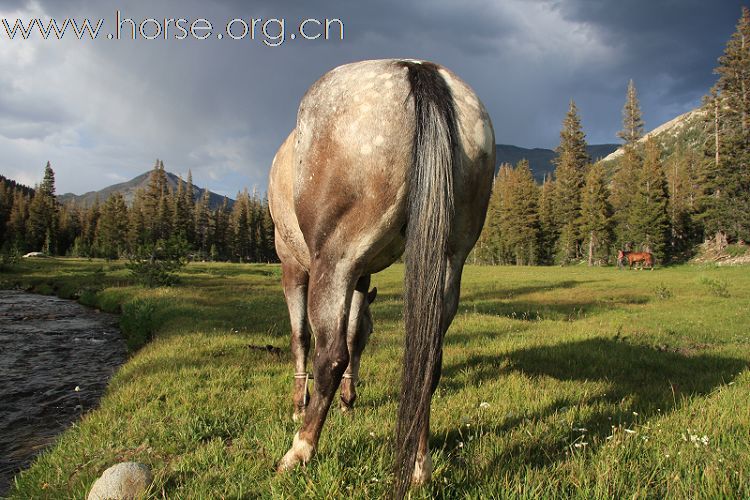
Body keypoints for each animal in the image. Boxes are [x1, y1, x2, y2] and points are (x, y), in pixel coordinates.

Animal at [268, 58, 496, 496]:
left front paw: (299, 403)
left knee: (330, 354)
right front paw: (348, 399)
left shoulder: (294, 266)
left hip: (333, 262)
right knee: (427, 363)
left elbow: (300, 336)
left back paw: (299, 451)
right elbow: (357, 333)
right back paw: (420, 467)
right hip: (448, 264)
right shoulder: (361, 275)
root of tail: (418, 70)